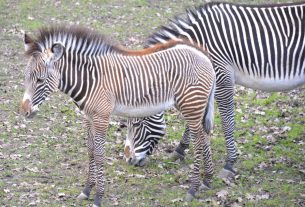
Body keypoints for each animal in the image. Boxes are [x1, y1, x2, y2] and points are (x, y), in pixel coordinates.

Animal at [20, 25, 215, 205]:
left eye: (40, 80)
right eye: (26, 77)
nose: (24, 111)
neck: (91, 79)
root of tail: (203, 55)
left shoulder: (101, 117)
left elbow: (99, 155)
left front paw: (98, 197)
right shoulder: (88, 117)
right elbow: (91, 151)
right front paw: (86, 190)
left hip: (191, 105)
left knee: (199, 143)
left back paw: (192, 189)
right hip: (194, 107)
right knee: (204, 137)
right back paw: (207, 180)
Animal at [123, 0, 304, 176]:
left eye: (137, 124)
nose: (129, 161)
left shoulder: (222, 77)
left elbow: (227, 121)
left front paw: (230, 163)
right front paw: (180, 150)